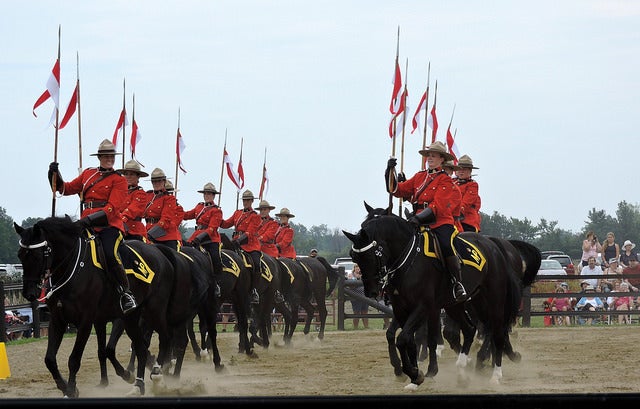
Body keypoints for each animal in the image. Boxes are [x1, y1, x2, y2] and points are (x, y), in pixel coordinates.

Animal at [14, 217, 175, 396]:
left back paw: (159, 374)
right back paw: (138, 385)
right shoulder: (57, 320)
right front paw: (65, 386)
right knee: (140, 347)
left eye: (36, 256)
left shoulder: (86, 321)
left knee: (165, 338)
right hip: (131, 318)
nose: (29, 293)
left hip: (154, 311)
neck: (74, 268)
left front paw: (71, 389)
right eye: (20, 255)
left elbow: (75, 359)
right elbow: (49, 359)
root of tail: (160, 254)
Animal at [344, 206, 540, 388]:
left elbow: (409, 338)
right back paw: (465, 368)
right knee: (471, 329)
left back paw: (494, 372)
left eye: (372, 255)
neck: (409, 260)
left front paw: (418, 371)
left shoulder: (424, 306)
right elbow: (402, 337)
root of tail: (496, 246)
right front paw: (412, 372)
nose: (371, 291)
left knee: (496, 331)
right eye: (354, 256)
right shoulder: (403, 308)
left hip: (494, 301)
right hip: (460, 304)